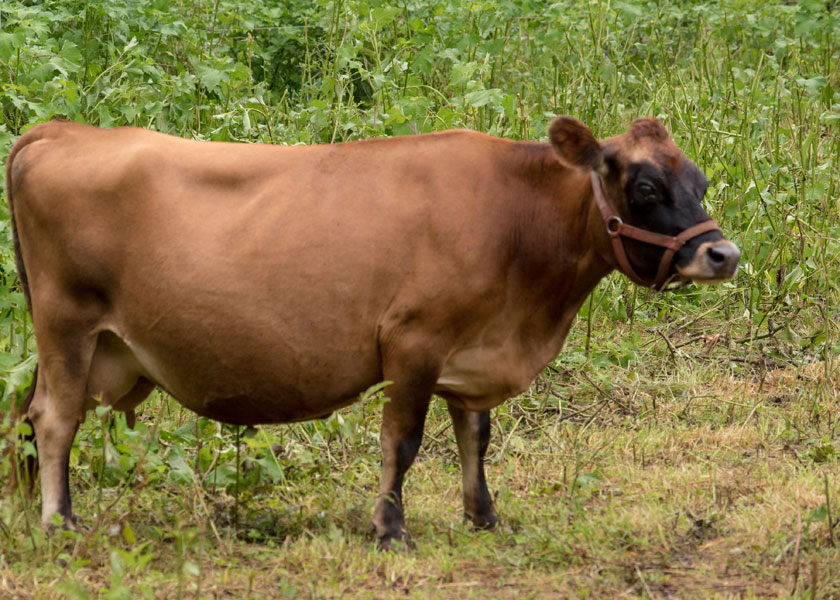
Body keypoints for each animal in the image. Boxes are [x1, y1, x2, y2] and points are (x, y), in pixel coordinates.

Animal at [5, 116, 739, 546]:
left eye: (700, 182)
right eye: (644, 188)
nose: (723, 254)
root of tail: (61, 129)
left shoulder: (471, 353)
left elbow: (475, 437)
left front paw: (482, 516)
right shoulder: (413, 341)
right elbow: (403, 443)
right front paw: (391, 529)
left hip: (99, 345)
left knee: (31, 412)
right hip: (68, 322)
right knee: (53, 418)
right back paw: (60, 521)